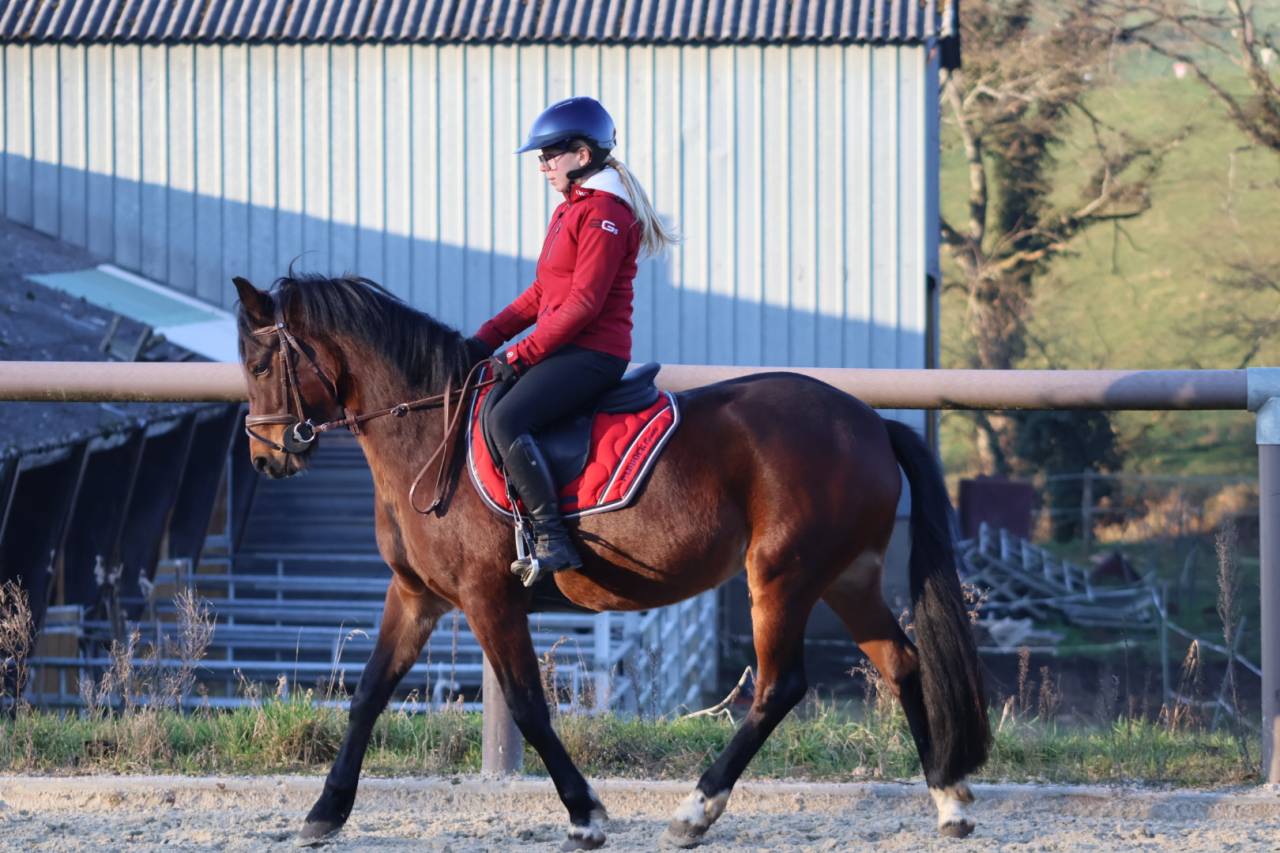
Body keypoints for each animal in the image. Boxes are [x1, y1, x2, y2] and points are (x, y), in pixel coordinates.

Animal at [232, 274, 990, 849]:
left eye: (261, 365)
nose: (265, 459)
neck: (424, 431)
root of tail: (870, 421)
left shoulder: (488, 598)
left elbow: (529, 706)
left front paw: (585, 813)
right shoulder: (415, 594)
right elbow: (367, 694)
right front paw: (324, 813)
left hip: (783, 574)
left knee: (780, 687)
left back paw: (695, 812)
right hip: (845, 575)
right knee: (903, 663)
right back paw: (949, 799)